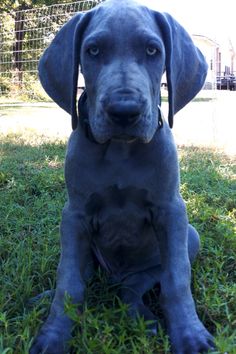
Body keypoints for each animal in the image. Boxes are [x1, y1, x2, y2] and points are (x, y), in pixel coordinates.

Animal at [29, 0, 214, 354]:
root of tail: (116, 276)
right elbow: (69, 282)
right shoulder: (74, 216)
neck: (120, 150)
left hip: (189, 238)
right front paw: (53, 335)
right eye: (93, 50)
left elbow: (176, 280)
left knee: (135, 287)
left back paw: (144, 318)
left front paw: (190, 335)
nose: (124, 110)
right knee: (85, 276)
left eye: (153, 50)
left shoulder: (172, 211)